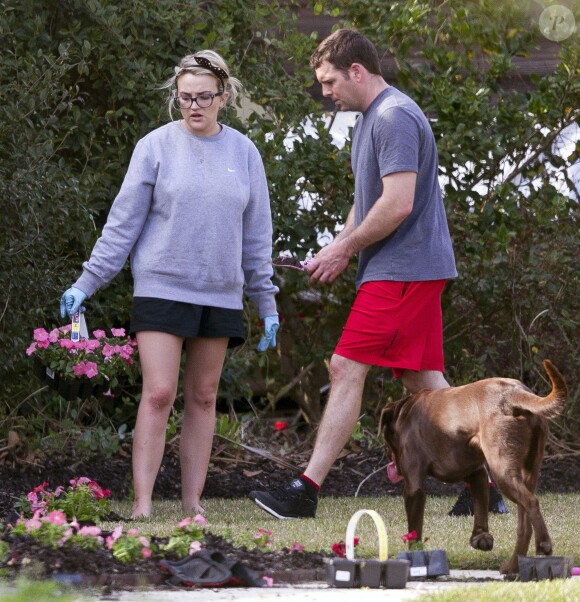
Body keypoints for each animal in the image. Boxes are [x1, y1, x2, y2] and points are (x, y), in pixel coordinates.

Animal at [380, 358, 568, 568]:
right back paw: (512, 566)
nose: (387, 455)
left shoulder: (414, 486)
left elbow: (415, 528)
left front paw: (414, 555)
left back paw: (543, 545)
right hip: (529, 470)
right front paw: (481, 538)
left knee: (531, 502)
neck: (405, 411)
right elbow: (480, 508)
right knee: (524, 522)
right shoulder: (477, 473)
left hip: (502, 470)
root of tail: (515, 393)